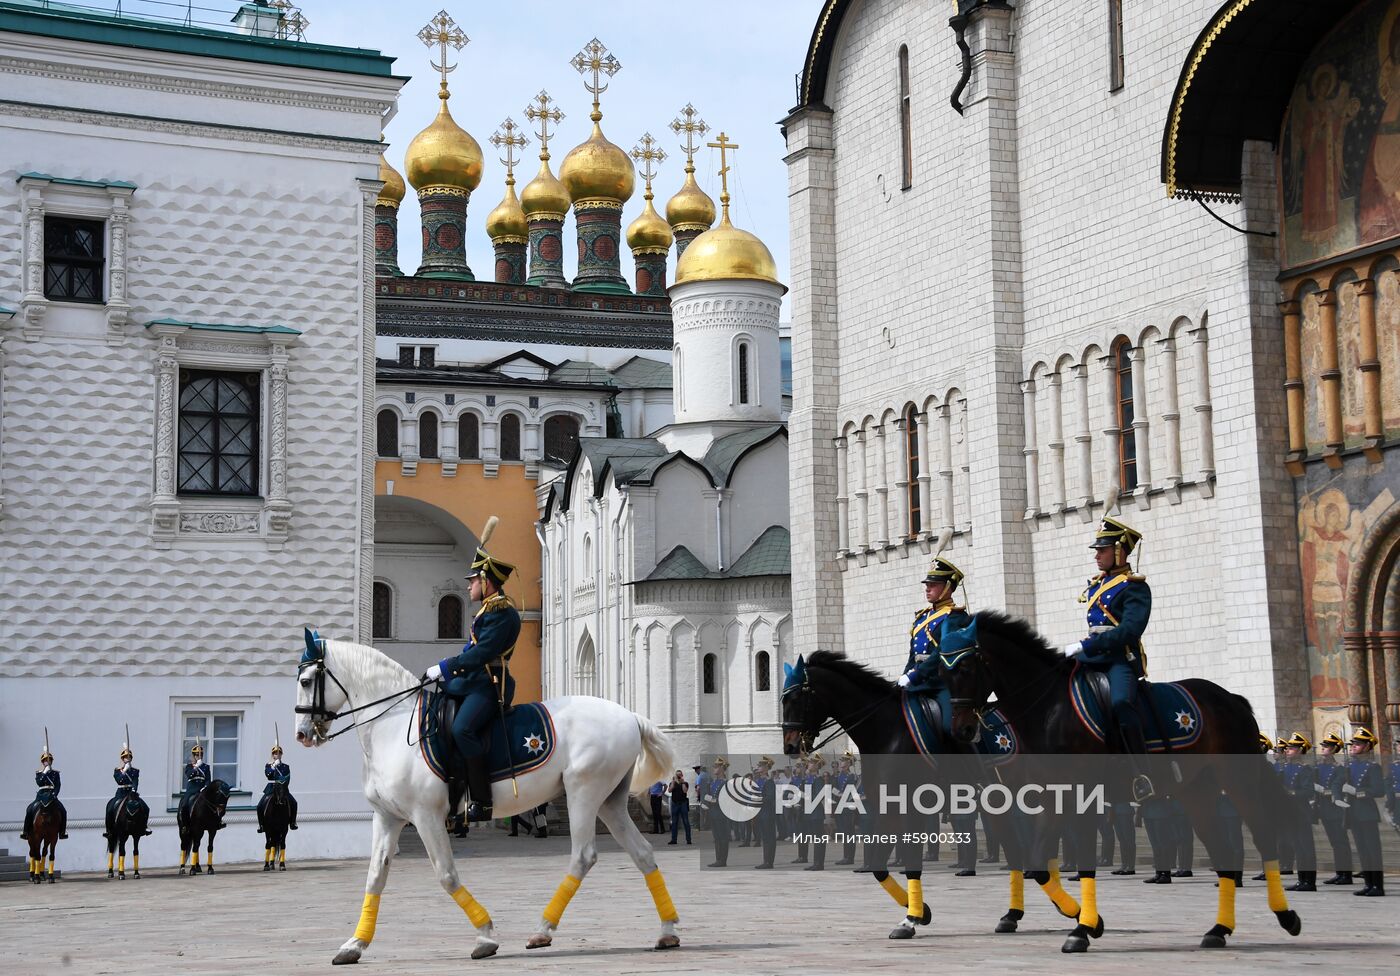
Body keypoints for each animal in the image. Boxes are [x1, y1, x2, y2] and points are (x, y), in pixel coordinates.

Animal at [292, 635, 680, 963]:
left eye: (307, 680)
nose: (302, 735)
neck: (392, 726)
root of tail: (630, 715)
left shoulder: (426, 816)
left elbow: (446, 875)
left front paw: (486, 935)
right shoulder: (388, 818)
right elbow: (375, 877)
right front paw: (354, 944)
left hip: (582, 792)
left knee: (583, 856)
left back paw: (542, 930)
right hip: (609, 801)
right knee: (643, 853)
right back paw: (667, 931)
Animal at [778, 649, 1080, 940]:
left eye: (797, 698)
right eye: (782, 700)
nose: (790, 746)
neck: (886, 731)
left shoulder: (912, 807)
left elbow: (911, 862)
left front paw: (910, 919)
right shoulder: (889, 809)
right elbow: (878, 866)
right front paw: (921, 911)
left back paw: (1066, 906)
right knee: (1018, 848)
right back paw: (1014, 915)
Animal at [940, 610, 1299, 952]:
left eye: (966, 667)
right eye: (942, 672)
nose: (961, 729)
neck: (1048, 709)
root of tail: (1230, 697)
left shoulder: (1080, 796)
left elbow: (1080, 858)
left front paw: (1082, 928)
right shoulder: (1050, 795)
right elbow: (1039, 863)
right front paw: (1083, 919)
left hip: (1239, 781)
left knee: (1263, 836)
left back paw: (1286, 916)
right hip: (1197, 792)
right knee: (1221, 849)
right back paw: (1218, 930)